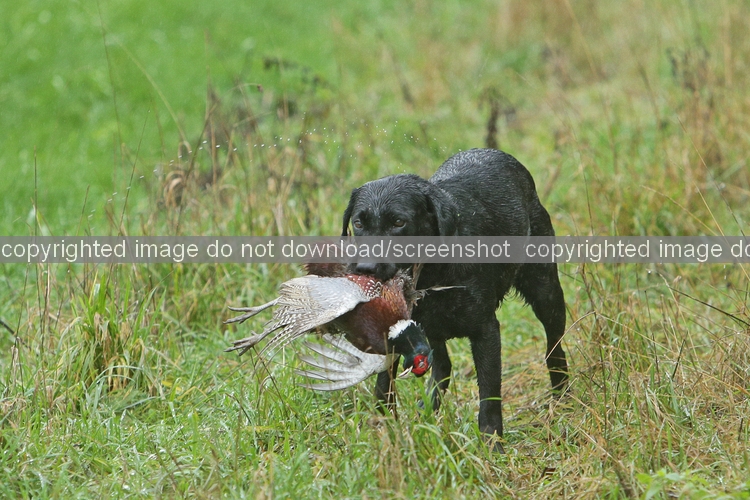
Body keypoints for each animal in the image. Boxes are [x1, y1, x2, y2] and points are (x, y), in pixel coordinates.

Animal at [342, 148, 568, 440]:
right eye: (359, 222)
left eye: (399, 222)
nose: (365, 268)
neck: (431, 274)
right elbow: (384, 387)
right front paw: (386, 431)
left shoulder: (486, 331)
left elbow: (489, 400)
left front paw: (492, 444)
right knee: (443, 367)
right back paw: (426, 411)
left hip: (546, 293)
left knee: (554, 349)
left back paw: (562, 398)